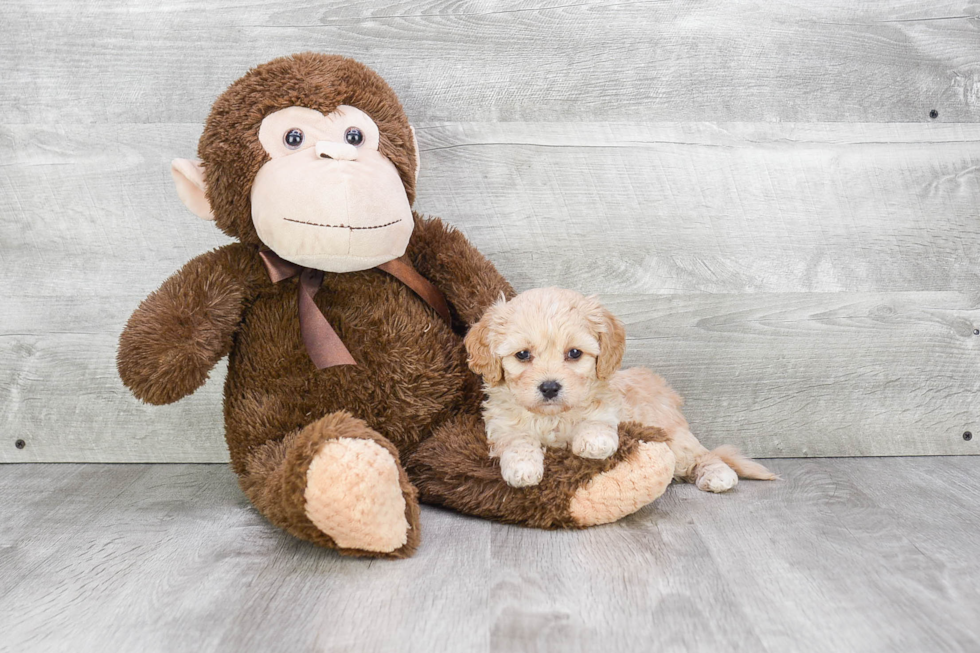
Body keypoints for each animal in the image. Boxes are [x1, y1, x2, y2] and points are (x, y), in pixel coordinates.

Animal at [464, 288, 776, 492]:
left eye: (574, 353)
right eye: (522, 355)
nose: (550, 387)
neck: (553, 417)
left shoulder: (608, 403)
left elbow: (597, 418)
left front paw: (594, 442)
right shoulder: (502, 426)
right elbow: (517, 440)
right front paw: (524, 468)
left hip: (672, 434)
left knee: (703, 455)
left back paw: (719, 475)